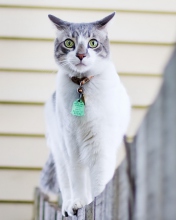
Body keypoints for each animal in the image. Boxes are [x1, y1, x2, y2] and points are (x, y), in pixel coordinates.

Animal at [40, 12, 131, 217]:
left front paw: (96, 203)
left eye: (93, 43)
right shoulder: (72, 145)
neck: (82, 86)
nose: (81, 55)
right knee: (66, 184)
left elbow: (99, 180)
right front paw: (78, 204)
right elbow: (77, 180)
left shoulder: (100, 144)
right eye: (69, 43)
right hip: (60, 152)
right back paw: (67, 206)